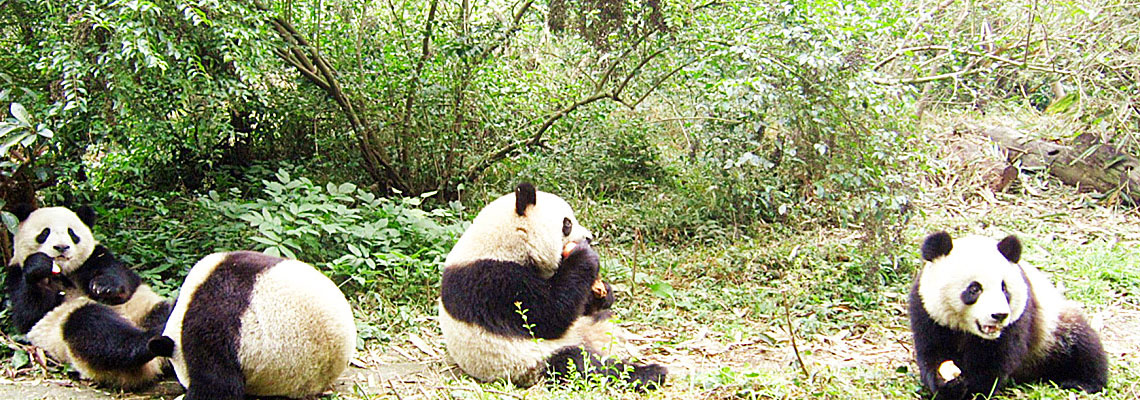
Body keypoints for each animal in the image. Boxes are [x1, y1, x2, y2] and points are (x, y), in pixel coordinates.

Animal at [4, 205, 171, 389]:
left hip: (145, 307)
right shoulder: (15, 273)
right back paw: (150, 340)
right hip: (66, 330)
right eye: (45, 232)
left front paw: (104, 287)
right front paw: (40, 266)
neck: (64, 272)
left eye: (71, 233)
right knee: (95, 330)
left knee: (166, 310)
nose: (61, 247)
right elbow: (28, 313)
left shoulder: (94, 257)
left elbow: (122, 279)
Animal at [438, 183, 667, 390]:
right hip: (531, 360)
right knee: (582, 364)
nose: (590, 238)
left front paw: (603, 293)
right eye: (567, 224)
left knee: (603, 322)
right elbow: (545, 316)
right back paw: (649, 373)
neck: (506, 242)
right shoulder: (492, 281)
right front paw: (584, 257)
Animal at [909, 231, 1108, 399]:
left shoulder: (1019, 317)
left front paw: (974, 391)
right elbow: (932, 351)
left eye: (1004, 288)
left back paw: (1082, 382)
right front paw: (947, 385)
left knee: (1083, 346)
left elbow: (994, 361)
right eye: (974, 288)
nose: (999, 315)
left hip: (1053, 327)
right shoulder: (927, 310)